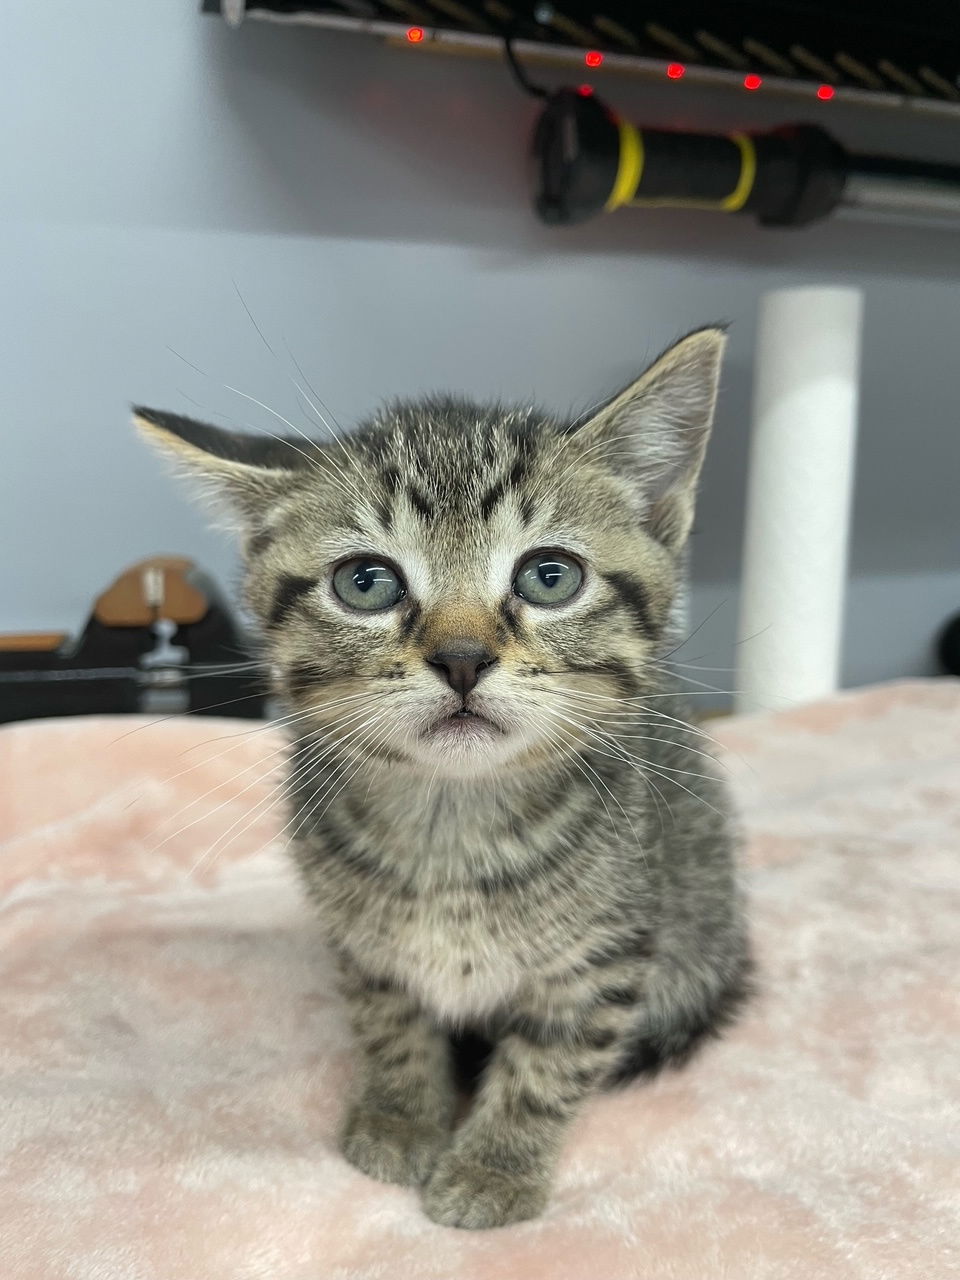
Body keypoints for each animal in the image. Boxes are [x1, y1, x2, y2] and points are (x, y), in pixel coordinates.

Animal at [136, 327, 752, 1228]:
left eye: (550, 576)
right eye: (365, 582)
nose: (462, 658)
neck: (450, 827)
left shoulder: (609, 955)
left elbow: (551, 1066)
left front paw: (494, 1166)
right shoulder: (364, 944)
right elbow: (391, 1024)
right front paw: (401, 1117)